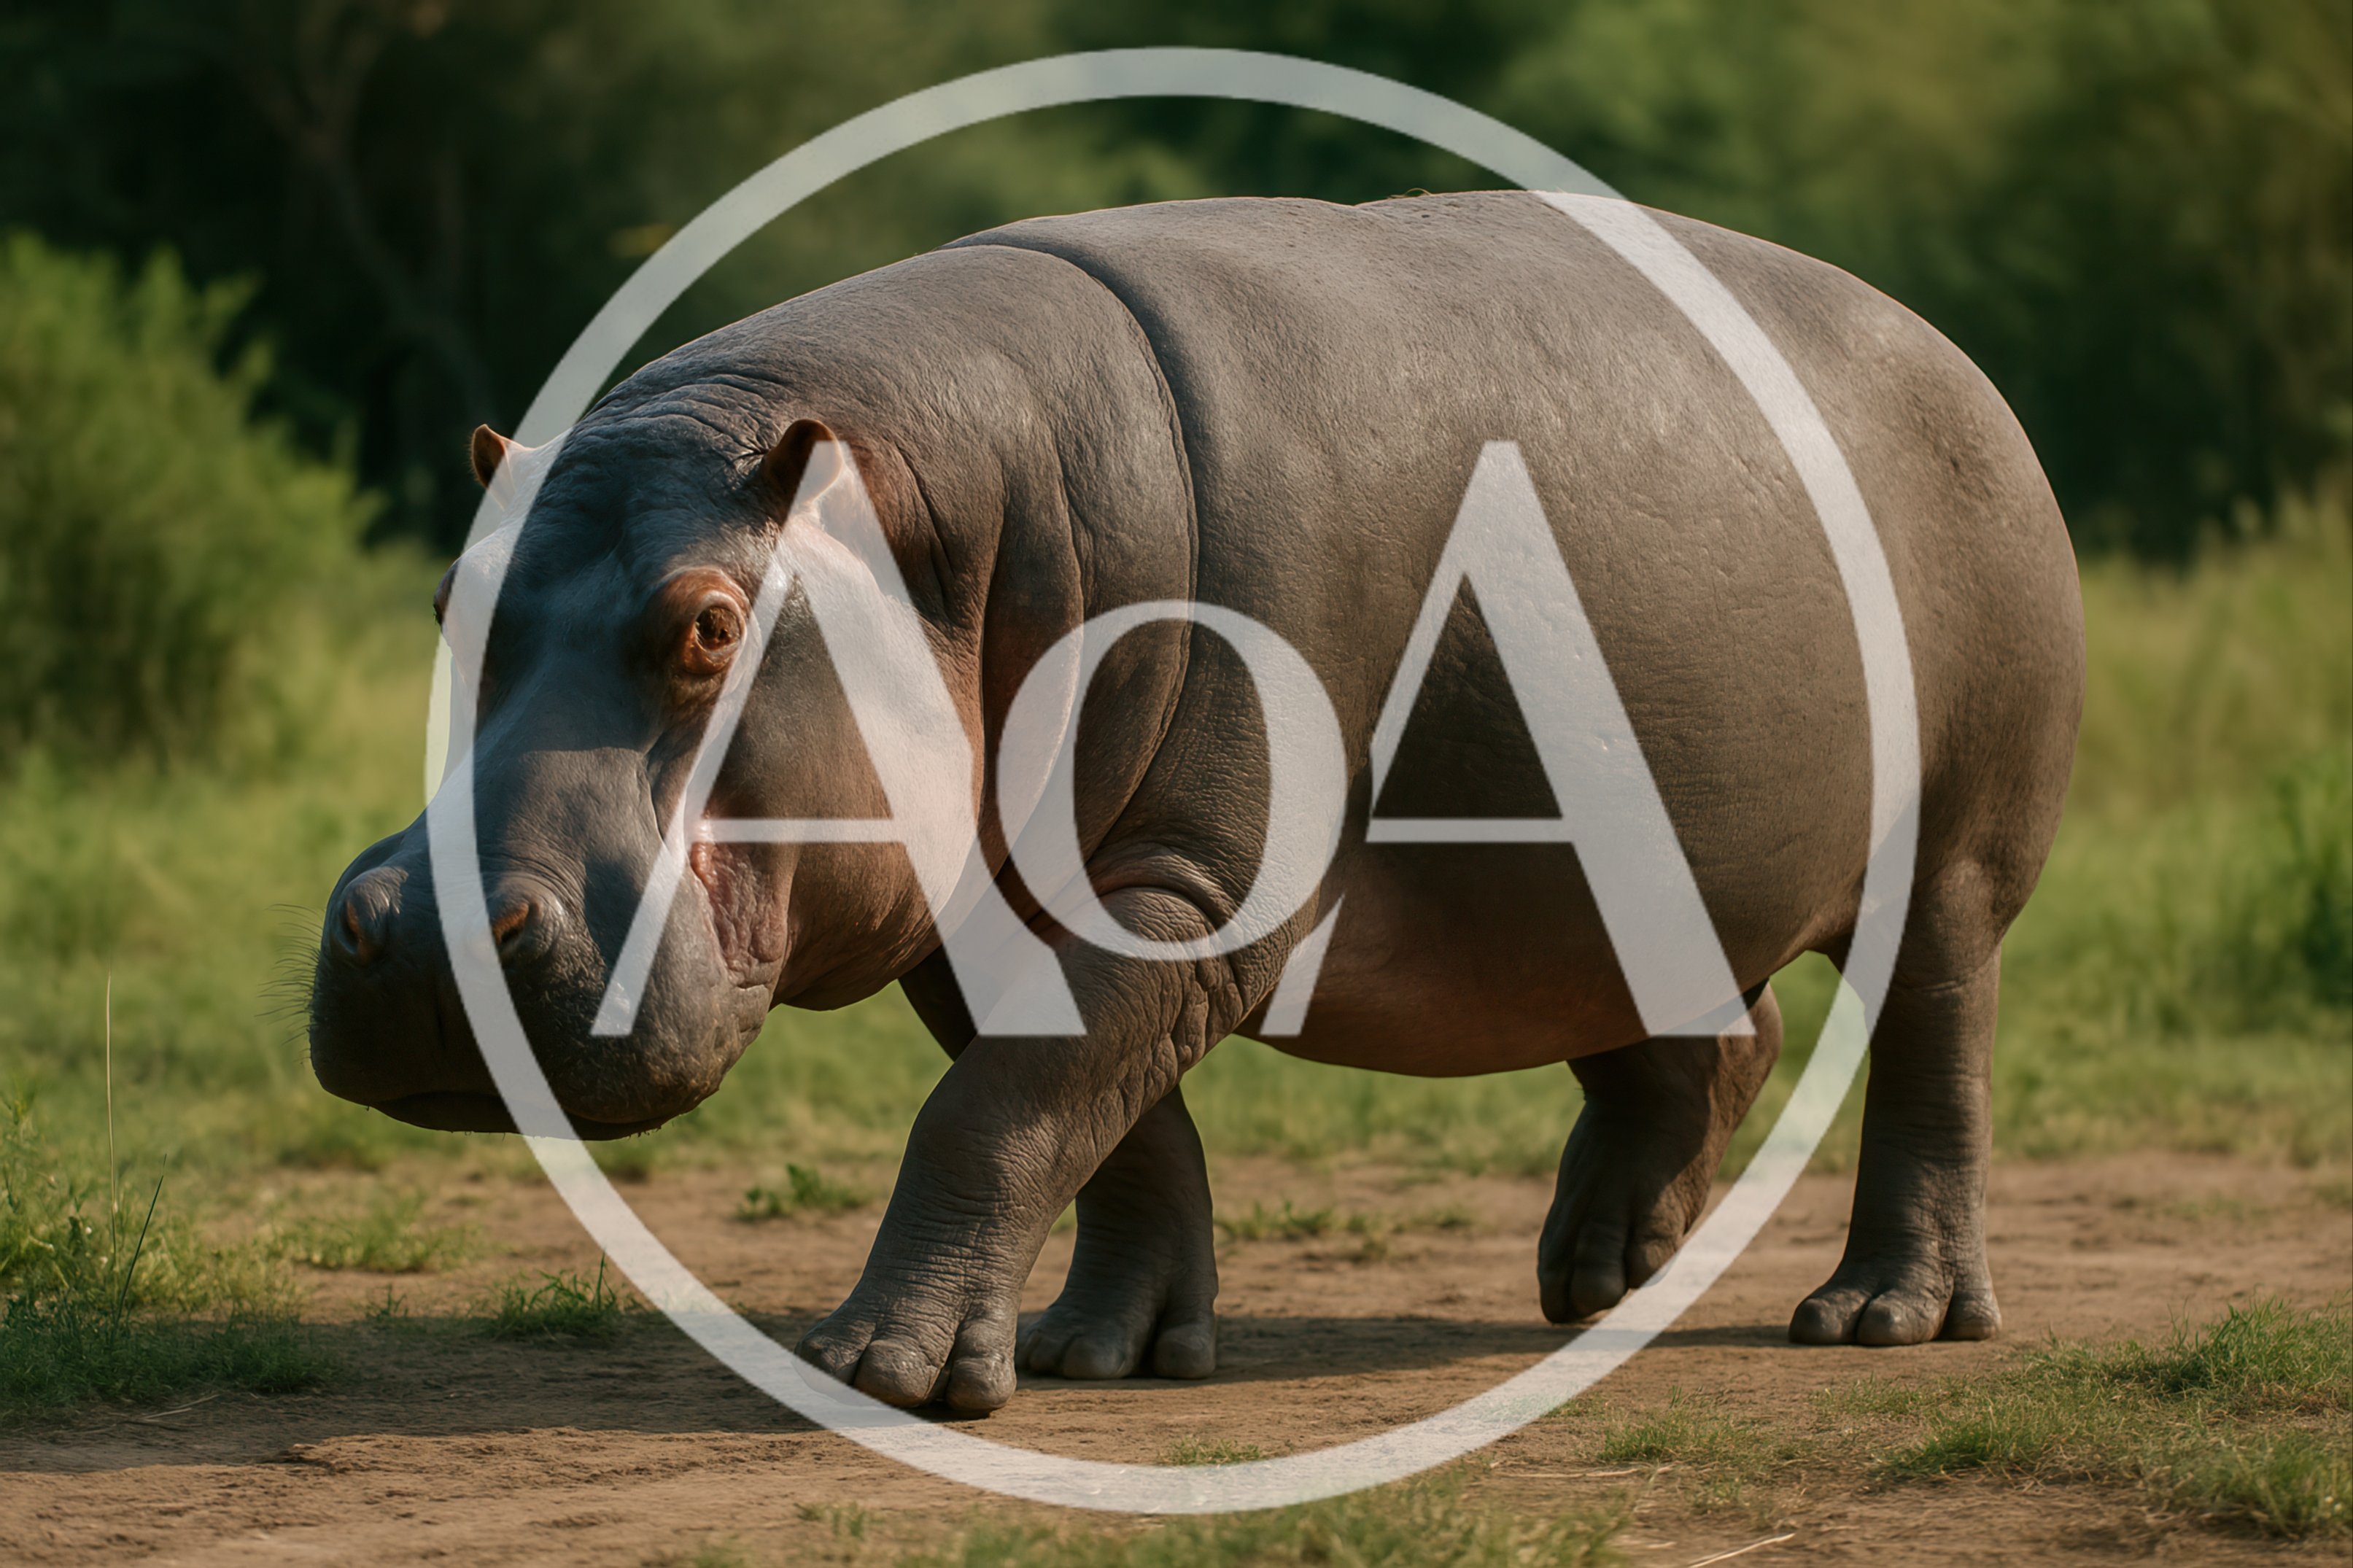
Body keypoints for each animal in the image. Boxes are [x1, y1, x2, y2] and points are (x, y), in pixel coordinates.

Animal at [309, 192, 2083, 1413]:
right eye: (455, 598)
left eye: (709, 624)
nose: (427, 933)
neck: (938, 517)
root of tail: (1953, 353)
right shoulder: (980, 911)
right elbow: (1102, 1121)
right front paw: (1096, 1352)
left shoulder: (1187, 885)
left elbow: (998, 1108)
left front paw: (876, 1367)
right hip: (1587, 890)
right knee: (1713, 1037)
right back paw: (1595, 1278)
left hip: (1954, 860)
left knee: (1933, 1053)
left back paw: (1878, 1318)